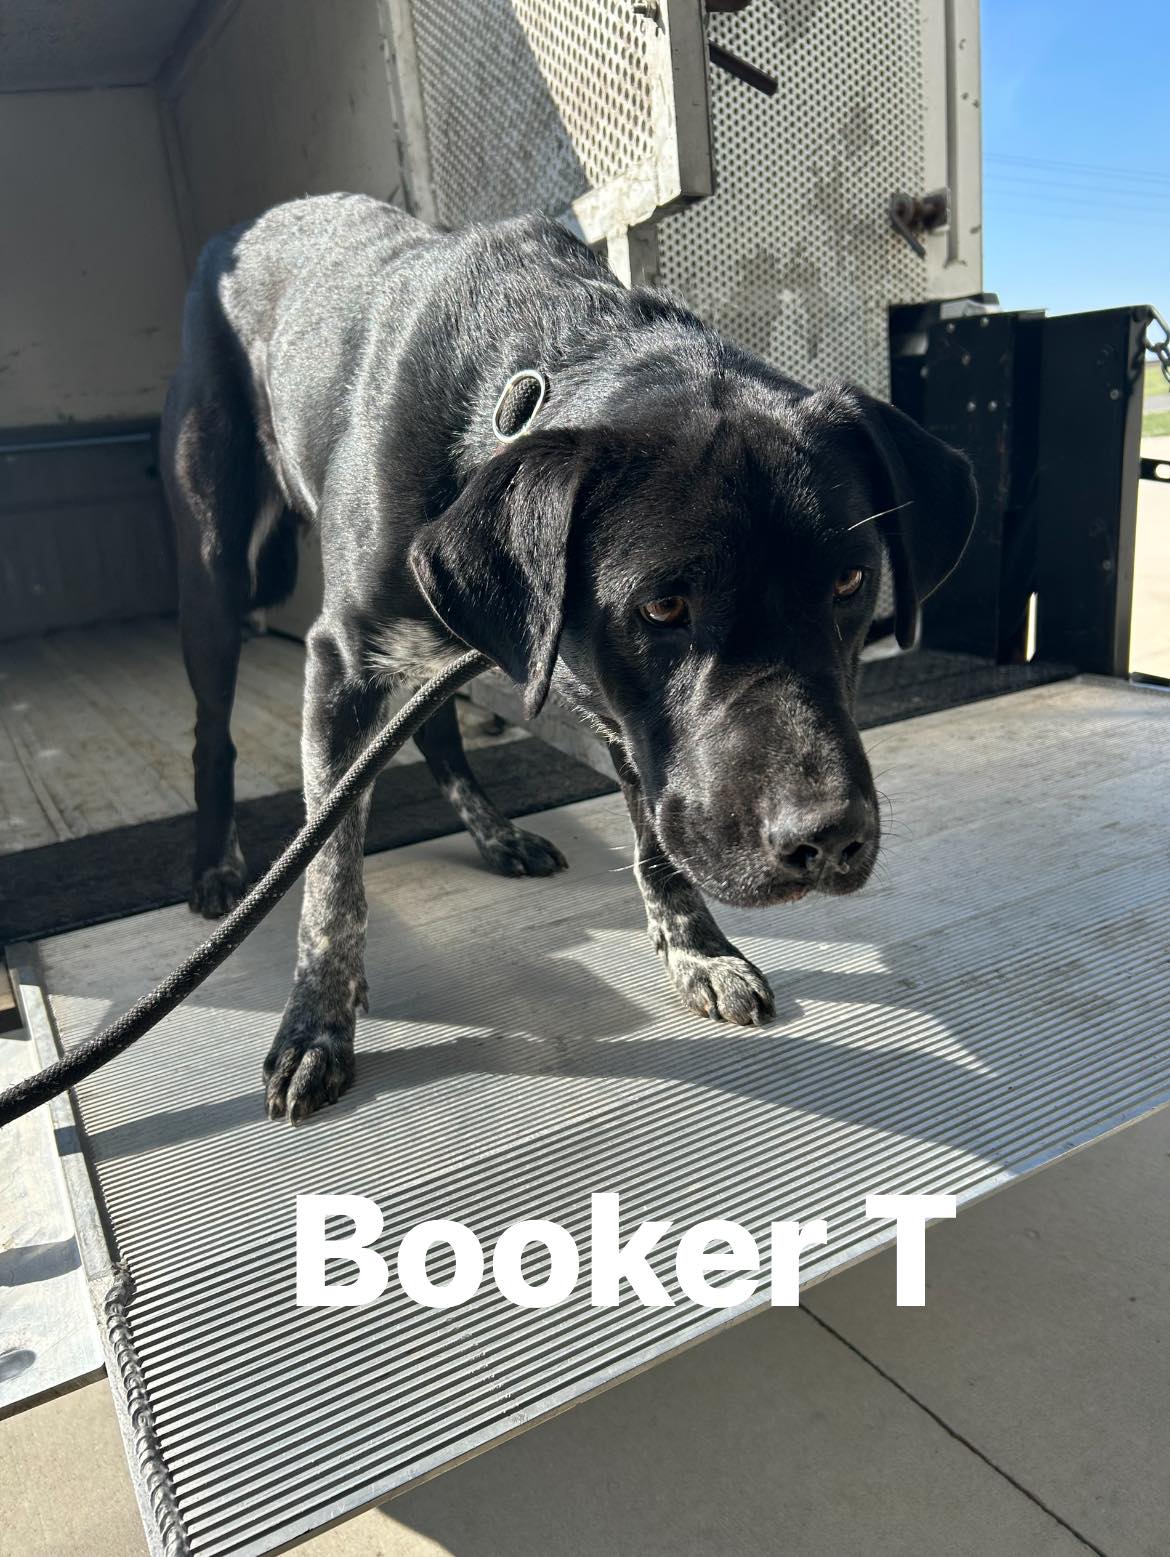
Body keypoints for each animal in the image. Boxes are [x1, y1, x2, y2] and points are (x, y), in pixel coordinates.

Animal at [162, 193, 976, 1123]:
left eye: (850, 581)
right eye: (663, 606)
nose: (829, 840)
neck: (512, 388)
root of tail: (240, 232)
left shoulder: (624, 715)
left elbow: (655, 831)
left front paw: (697, 948)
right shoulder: (340, 660)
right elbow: (332, 871)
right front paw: (316, 1022)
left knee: (437, 729)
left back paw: (496, 834)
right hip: (214, 570)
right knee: (214, 731)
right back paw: (216, 865)